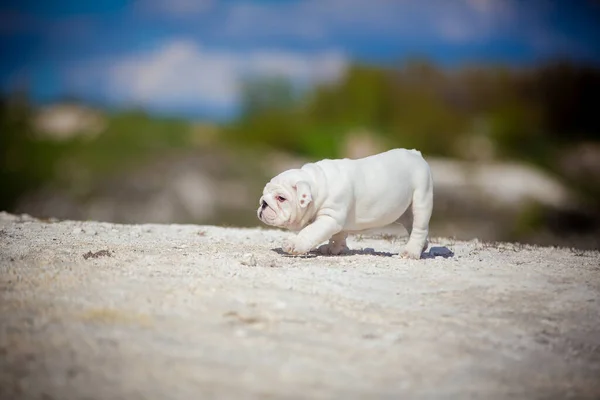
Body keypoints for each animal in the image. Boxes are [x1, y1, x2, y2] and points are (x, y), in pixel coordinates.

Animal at [255, 148, 434, 258]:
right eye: (263, 195)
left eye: (281, 198)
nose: (263, 204)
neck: (318, 184)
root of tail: (416, 154)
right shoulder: (335, 219)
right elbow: (337, 235)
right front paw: (334, 249)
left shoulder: (329, 218)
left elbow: (310, 232)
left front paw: (294, 244)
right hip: (405, 212)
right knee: (412, 225)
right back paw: (422, 247)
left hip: (422, 198)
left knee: (419, 227)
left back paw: (411, 252)